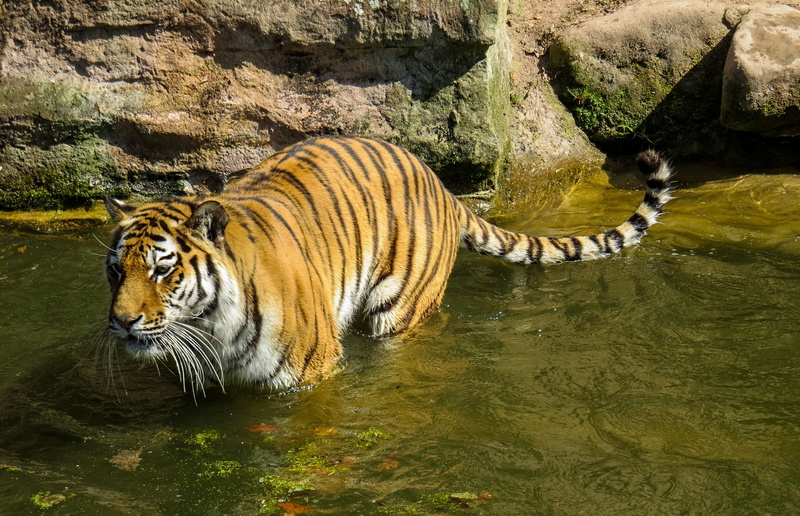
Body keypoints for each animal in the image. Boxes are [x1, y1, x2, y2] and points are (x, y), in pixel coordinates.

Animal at [103, 135, 672, 393]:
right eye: (116, 271)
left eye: (162, 270)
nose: (122, 322)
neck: (211, 329)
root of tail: (443, 185)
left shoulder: (313, 375)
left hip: (398, 308)